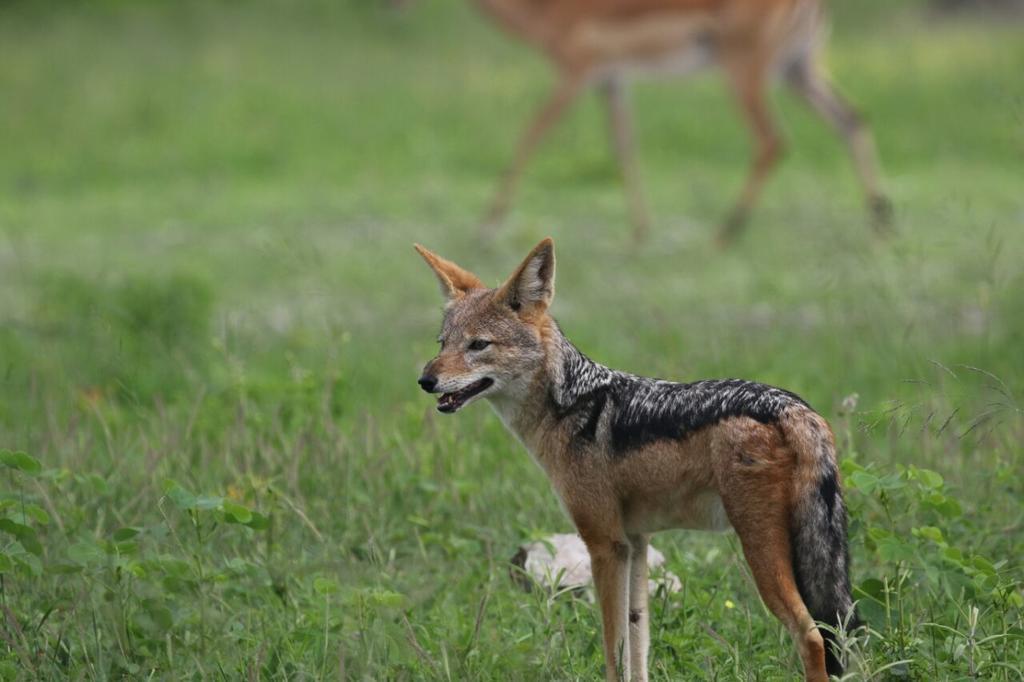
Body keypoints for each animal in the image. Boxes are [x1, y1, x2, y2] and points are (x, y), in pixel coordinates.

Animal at [403, 0, 892, 241]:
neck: (543, 11)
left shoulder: (575, 74)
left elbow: (532, 134)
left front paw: (487, 224)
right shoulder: (612, 81)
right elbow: (624, 145)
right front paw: (641, 231)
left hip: (744, 71)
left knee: (772, 139)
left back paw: (726, 232)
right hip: (798, 69)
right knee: (853, 119)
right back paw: (882, 220)